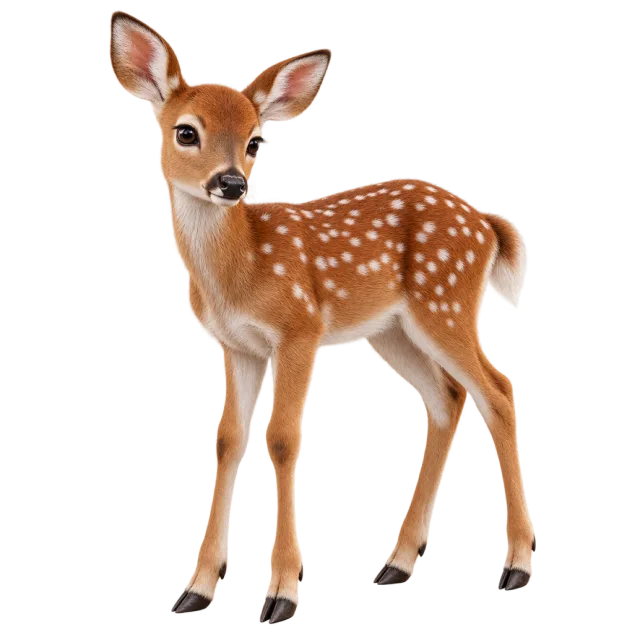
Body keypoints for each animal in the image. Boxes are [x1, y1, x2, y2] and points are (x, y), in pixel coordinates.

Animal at [109, 11, 536, 622]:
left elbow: (284, 438)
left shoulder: (299, 327)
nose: (232, 183)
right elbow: (228, 440)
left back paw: (517, 566)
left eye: (255, 140)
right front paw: (197, 589)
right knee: (449, 399)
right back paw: (396, 564)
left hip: (446, 303)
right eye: (185, 132)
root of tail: (484, 221)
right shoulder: (235, 345)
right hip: (394, 330)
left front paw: (282, 594)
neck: (239, 272)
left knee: (497, 389)